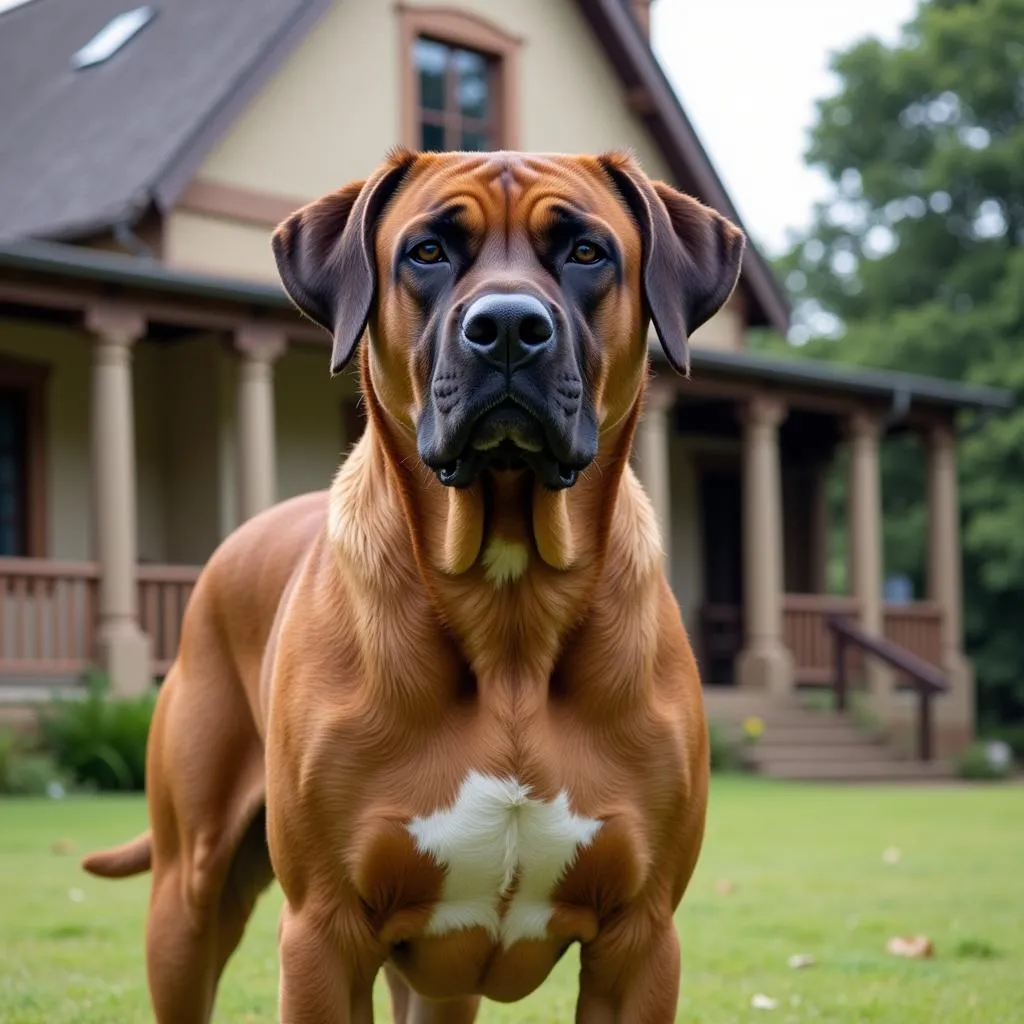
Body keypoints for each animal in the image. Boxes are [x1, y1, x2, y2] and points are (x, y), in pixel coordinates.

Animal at [83, 148, 745, 1019]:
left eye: (586, 252)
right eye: (427, 252)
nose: (507, 327)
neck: (509, 602)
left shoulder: (640, 939)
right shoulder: (324, 934)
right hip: (189, 899)